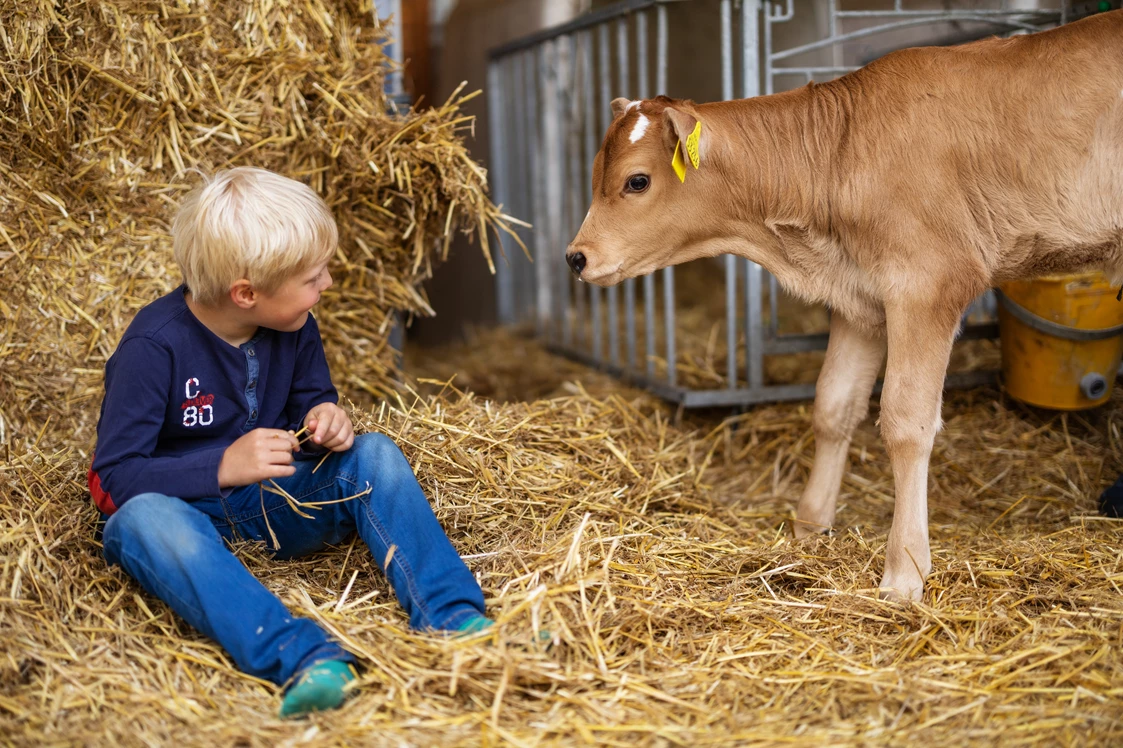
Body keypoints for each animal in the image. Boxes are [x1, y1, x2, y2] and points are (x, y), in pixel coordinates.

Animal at [570, 8, 1123, 597]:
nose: (575, 257)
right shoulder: (861, 298)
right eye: (595, 173)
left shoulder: (927, 283)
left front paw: (904, 572)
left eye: (637, 181)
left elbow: (905, 421)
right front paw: (809, 528)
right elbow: (833, 406)